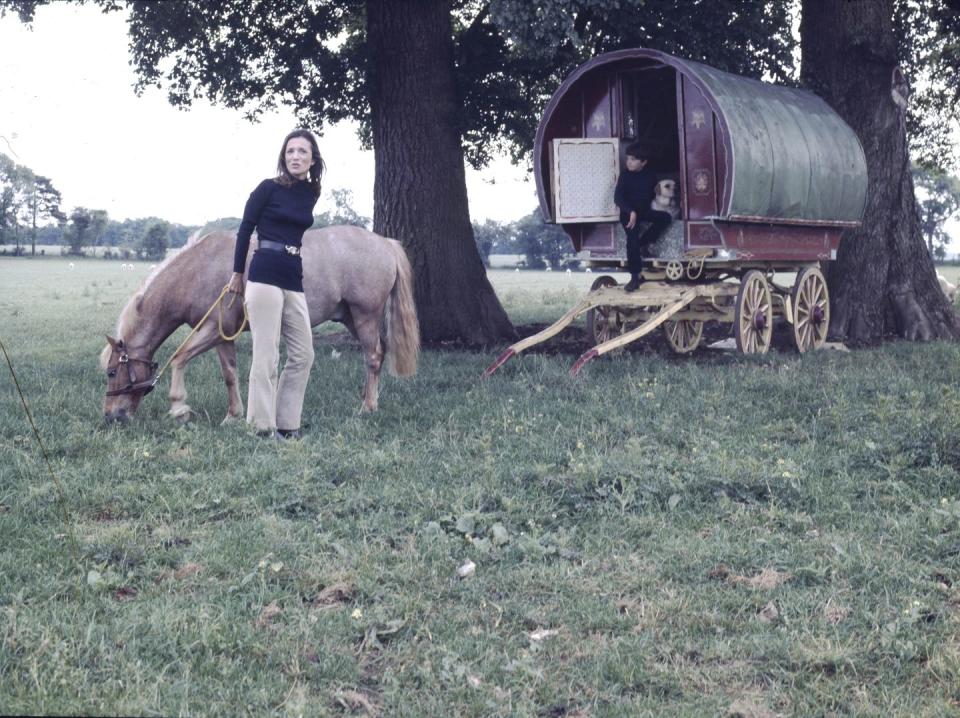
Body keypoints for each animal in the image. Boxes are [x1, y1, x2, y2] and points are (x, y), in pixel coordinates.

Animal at [101, 228, 420, 424]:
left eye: (112, 372)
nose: (111, 416)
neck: (199, 270)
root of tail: (385, 243)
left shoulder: (211, 330)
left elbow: (179, 358)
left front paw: (179, 407)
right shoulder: (222, 336)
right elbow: (230, 374)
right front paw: (233, 415)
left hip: (365, 316)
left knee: (373, 357)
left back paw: (367, 407)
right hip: (352, 318)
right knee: (377, 354)